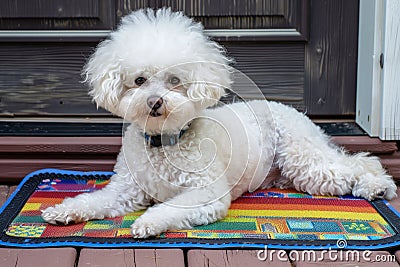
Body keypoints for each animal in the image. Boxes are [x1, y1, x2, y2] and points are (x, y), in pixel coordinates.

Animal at [41, 8, 396, 239]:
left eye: (175, 81)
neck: (164, 144)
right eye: (139, 80)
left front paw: (148, 223)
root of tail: (290, 109)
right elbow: (92, 199)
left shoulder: (206, 193)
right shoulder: (123, 191)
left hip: (304, 160)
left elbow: (168, 208)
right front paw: (63, 210)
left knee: (358, 164)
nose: (155, 102)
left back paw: (377, 186)